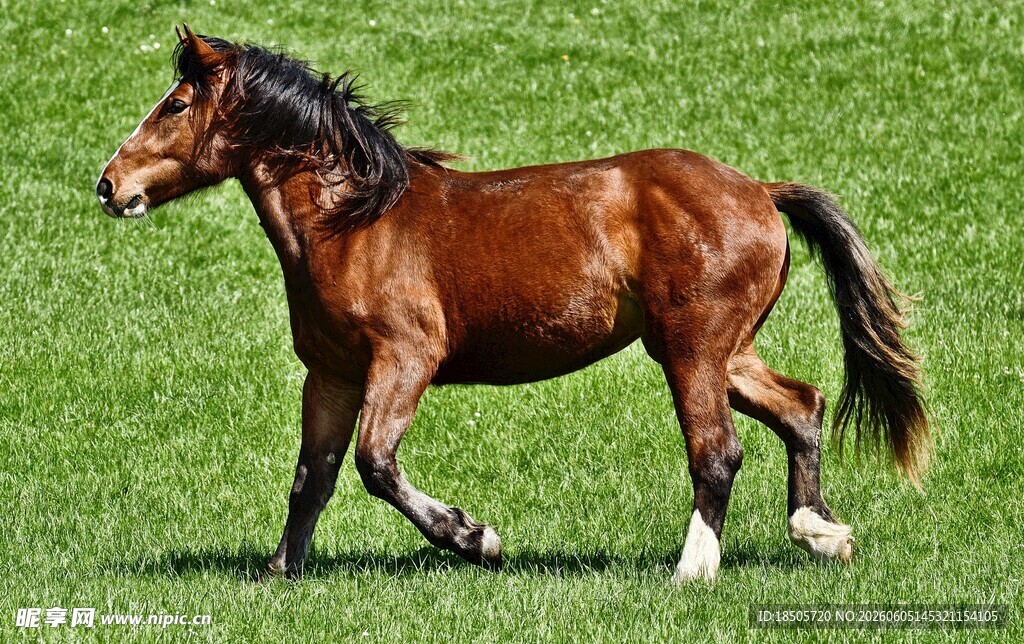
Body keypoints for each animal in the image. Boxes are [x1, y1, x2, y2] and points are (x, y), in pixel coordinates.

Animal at [96, 26, 930, 582]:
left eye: (175, 105)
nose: (109, 185)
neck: (354, 222)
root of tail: (759, 189)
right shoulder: (330, 374)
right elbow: (314, 477)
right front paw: (279, 572)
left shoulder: (405, 359)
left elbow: (375, 464)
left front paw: (476, 538)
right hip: (722, 349)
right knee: (802, 406)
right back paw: (822, 533)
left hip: (692, 349)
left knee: (718, 451)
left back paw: (692, 571)